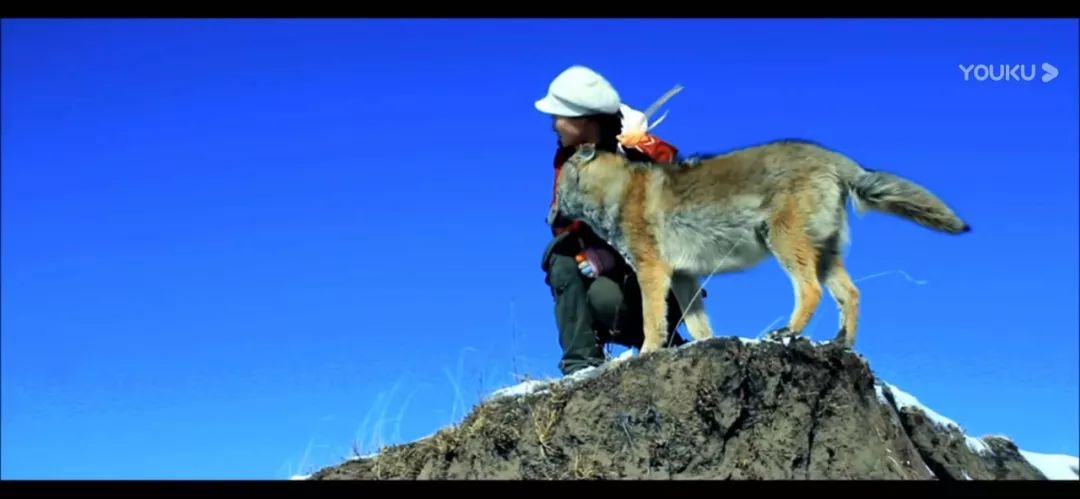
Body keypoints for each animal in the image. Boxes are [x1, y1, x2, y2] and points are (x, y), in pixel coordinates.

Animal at [557, 138, 972, 352]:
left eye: (555, 192)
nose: (549, 220)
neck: (617, 192)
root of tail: (837, 158)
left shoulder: (652, 272)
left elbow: (652, 325)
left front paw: (641, 356)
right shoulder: (685, 278)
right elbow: (699, 326)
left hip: (785, 245)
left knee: (810, 291)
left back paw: (787, 333)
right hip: (823, 255)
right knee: (851, 294)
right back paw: (842, 344)